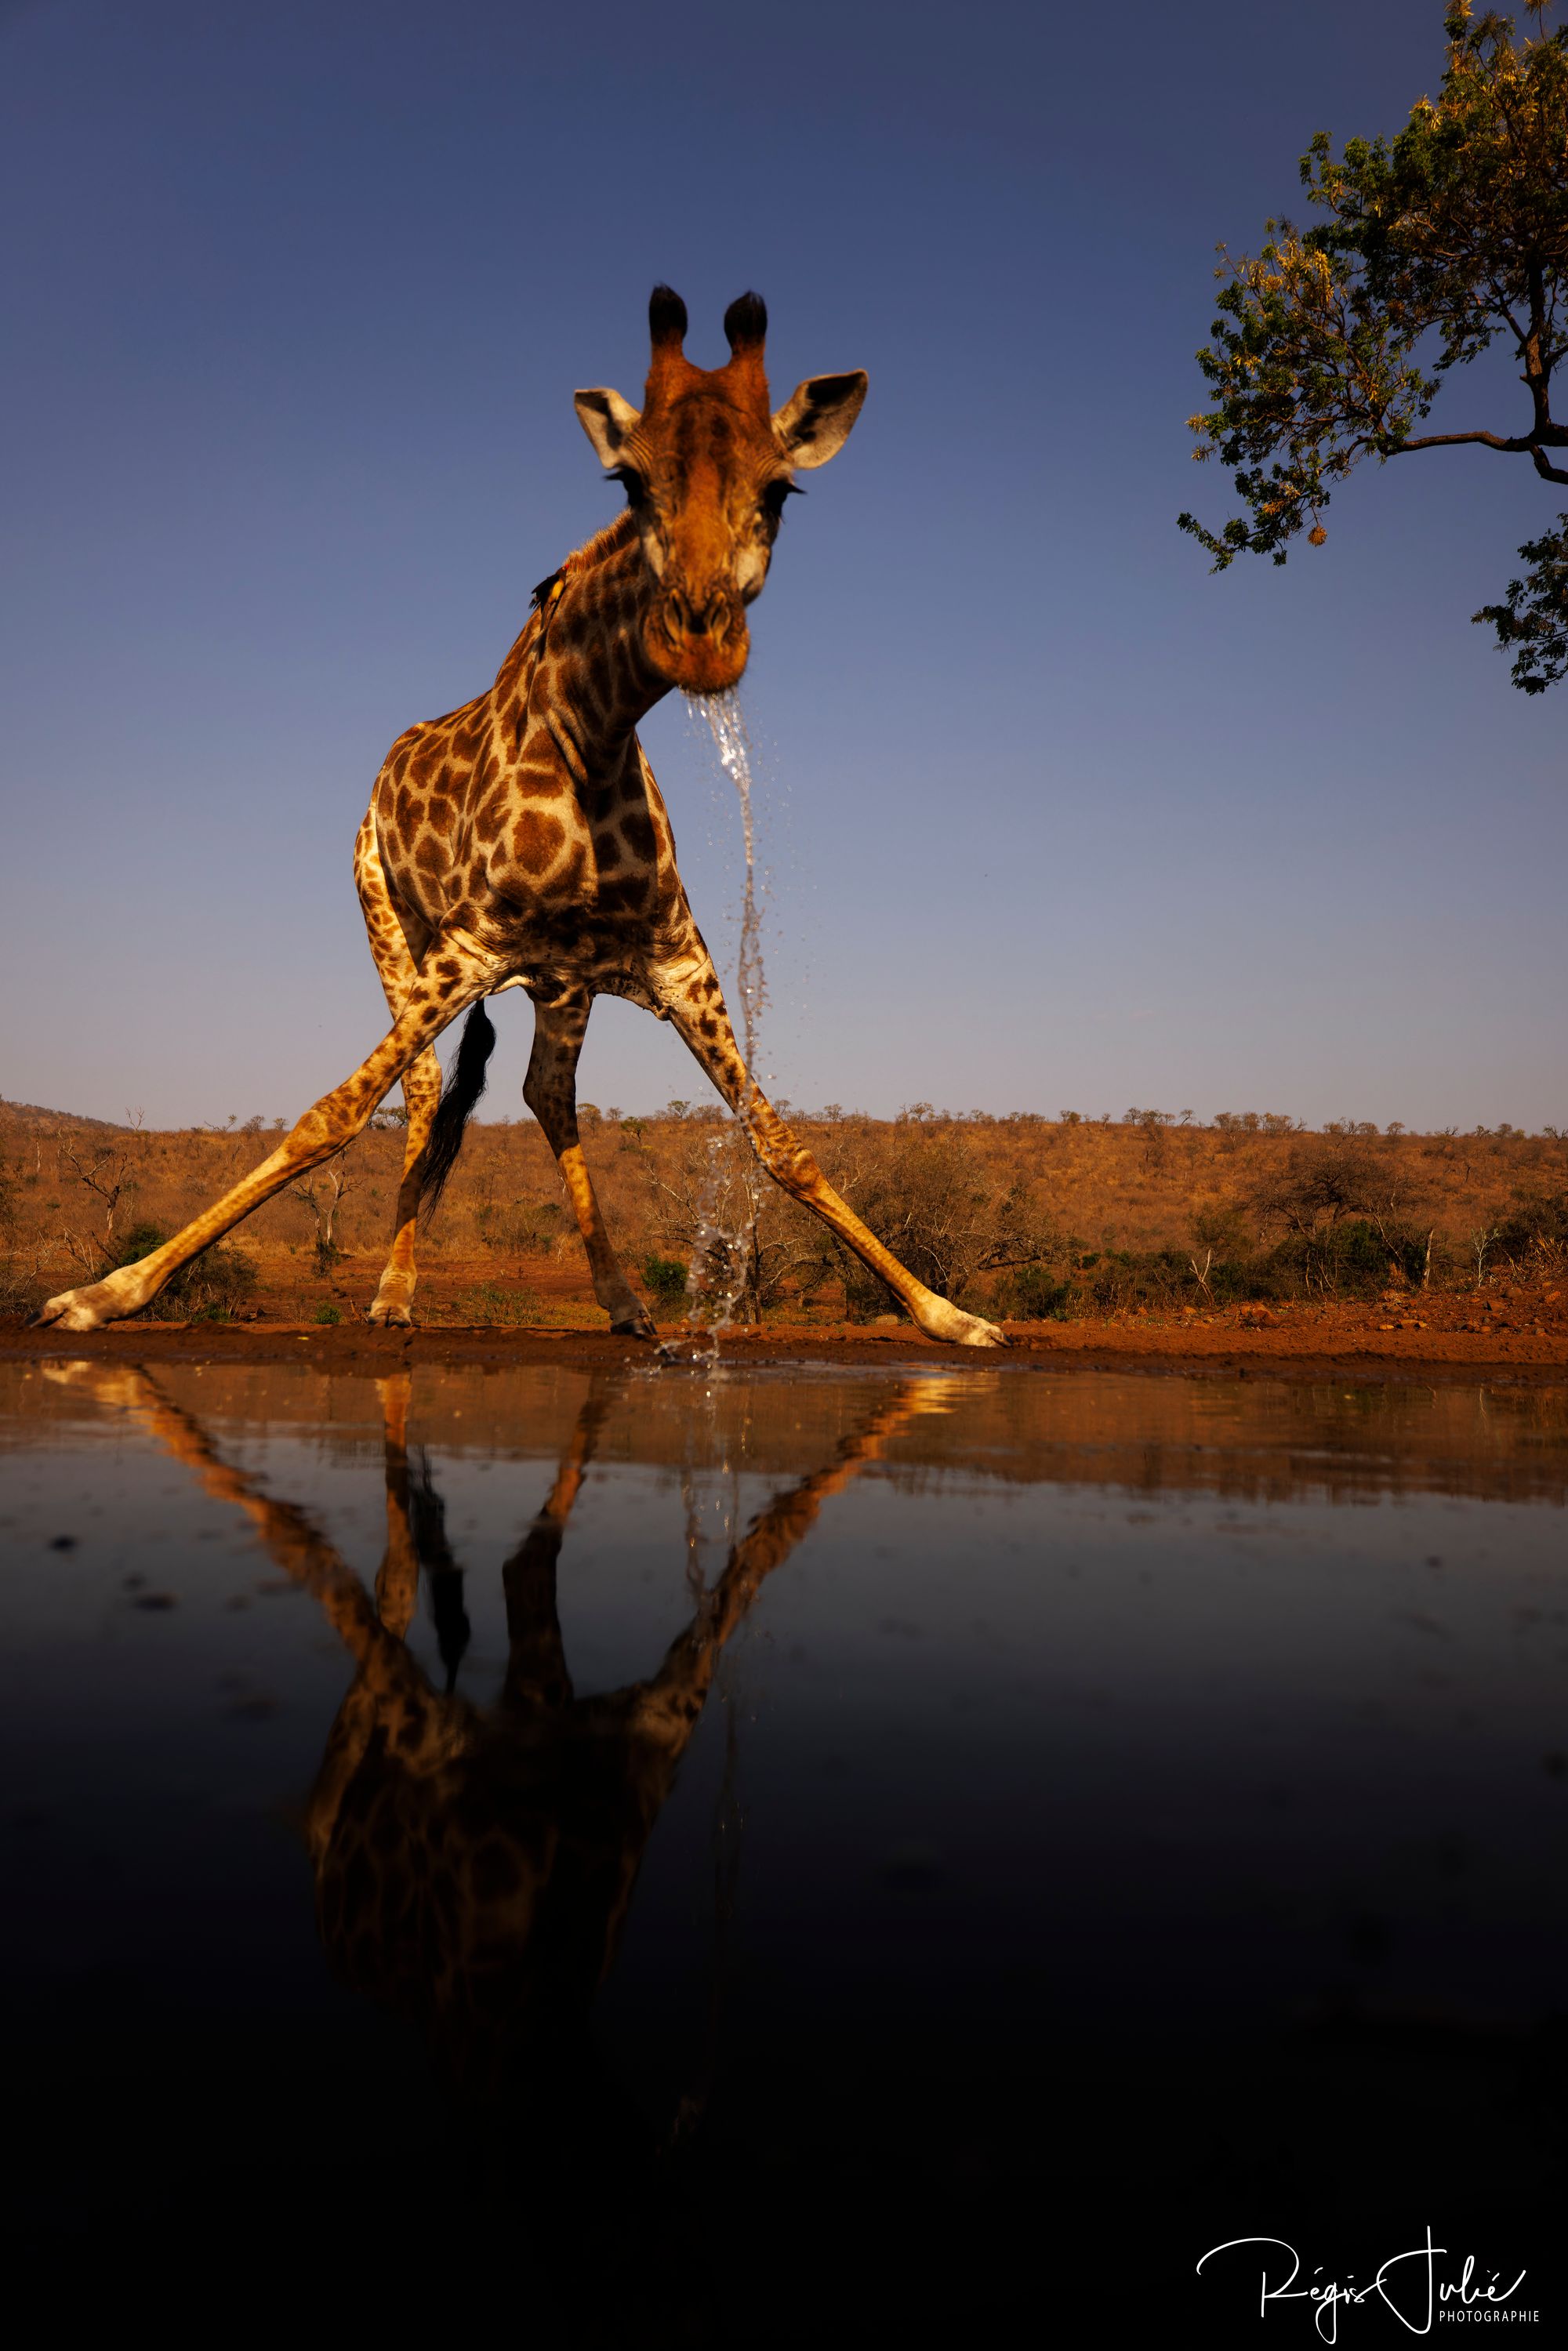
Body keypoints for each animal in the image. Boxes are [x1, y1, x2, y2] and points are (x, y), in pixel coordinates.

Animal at [36, 293, 1006, 1354]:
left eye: (781, 490)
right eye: (630, 482)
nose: (700, 636)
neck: (594, 733)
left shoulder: (677, 959)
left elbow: (779, 1141)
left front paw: (949, 1313)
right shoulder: (470, 945)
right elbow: (329, 1114)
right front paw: (103, 1292)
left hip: (561, 982)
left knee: (546, 1092)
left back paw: (620, 1303)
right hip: (391, 924)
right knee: (426, 1094)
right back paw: (392, 1295)